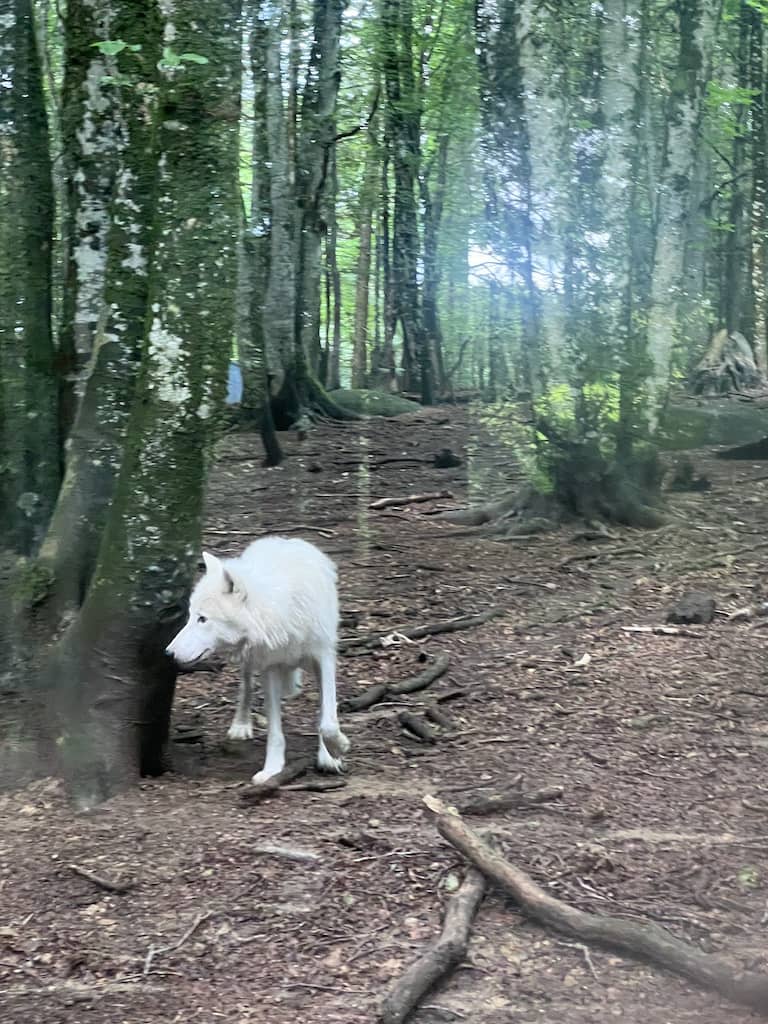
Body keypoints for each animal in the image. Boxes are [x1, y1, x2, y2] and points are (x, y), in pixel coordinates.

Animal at [166, 536, 350, 784]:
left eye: (202, 619)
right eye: (191, 616)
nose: (168, 653)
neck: (280, 610)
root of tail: (283, 540)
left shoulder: (324, 657)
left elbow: (327, 719)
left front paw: (333, 753)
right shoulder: (269, 667)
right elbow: (275, 731)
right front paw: (272, 769)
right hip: (250, 659)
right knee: (246, 686)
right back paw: (240, 725)